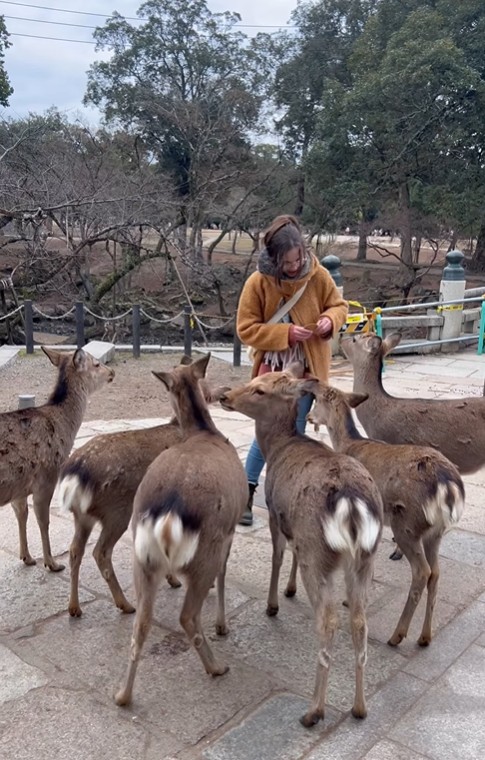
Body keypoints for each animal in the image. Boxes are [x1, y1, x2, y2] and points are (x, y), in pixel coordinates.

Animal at [0, 348, 114, 572]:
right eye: (97, 364)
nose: (112, 372)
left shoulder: (19, 485)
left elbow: (22, 513)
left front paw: (27, 557)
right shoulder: (47, 477)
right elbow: (43, 521)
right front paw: (52, 563)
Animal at [58, 358, 227, 616]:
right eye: (206, 390)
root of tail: (74, 475)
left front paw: (173, 580)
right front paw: (180, 581)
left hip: (83, 516)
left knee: (75, 550)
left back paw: (74, 607)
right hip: (117, 510)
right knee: (101, 552)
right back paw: (125, 604)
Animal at [115, 354, 248, 708]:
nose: (223, 392)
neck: (204, 431)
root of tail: (169, 512)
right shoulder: (229, 532)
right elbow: (224, 575)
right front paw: (223, 625)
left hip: (142, 557)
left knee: (141, 621)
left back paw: (122, 695)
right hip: (206, 550)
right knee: (187, 615)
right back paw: (217, 667)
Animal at [218, 368, 382, 732]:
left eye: (259, 389)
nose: (224, 395)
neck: (278, 447)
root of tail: (351, 501)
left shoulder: (275, 512)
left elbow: (278, 556)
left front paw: (273, 604)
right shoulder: (296, 530)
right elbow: (291, 554)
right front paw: (289, 590)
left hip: (319, 553)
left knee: (329, 620)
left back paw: (313, 711)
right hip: (364, 557)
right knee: (360, 621)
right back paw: (360, 707)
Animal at [308, 386, 464, 648]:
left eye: (317, 400)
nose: (309, 417)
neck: (347, 443)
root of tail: (448, 485)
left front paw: (350, 599)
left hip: (408, 525)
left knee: (422, 572)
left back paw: (397, 635)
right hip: (435, 531)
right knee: (436, 572)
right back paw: (425, 637)